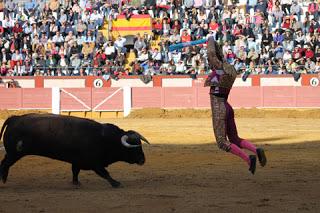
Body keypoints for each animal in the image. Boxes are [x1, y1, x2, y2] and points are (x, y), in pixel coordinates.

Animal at [0, 114, 150, 187]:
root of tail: (14, 118)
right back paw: (3, 180)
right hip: (15, 153)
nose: (143, 160)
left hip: (12, 153)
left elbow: (75, 171)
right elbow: (105, 173)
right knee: (4, 164)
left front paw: (76, 183)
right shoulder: (95, 163)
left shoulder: (77, 161)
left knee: (4, 163)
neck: (105, 138)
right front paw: (116, 183)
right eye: (134, 146)